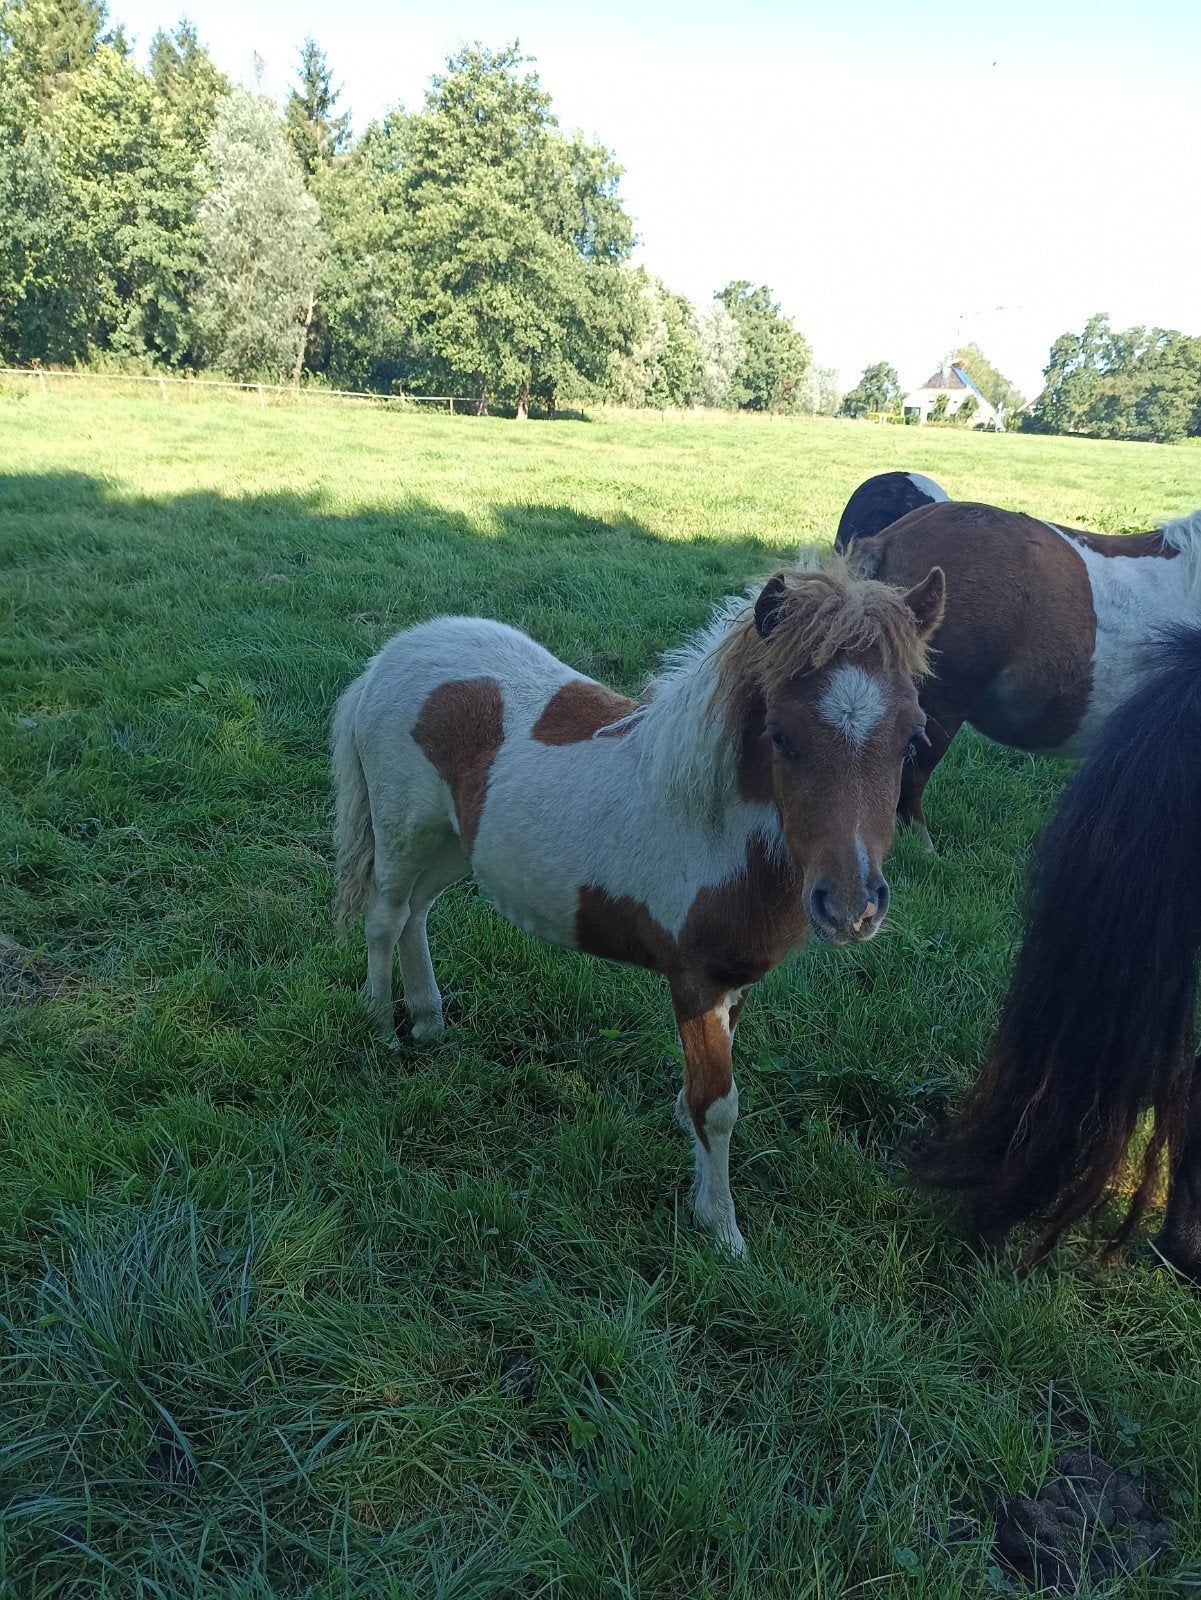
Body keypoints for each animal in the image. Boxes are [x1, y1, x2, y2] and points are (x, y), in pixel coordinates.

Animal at [332, 561, 946, 1255]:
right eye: (781, 736)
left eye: (913, 736)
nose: (850, 907)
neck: (717, 832)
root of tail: (388, 656)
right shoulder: (696, 982)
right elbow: (718, 1103)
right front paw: (723, 1232)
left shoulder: (738, 981)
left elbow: (701, 1095)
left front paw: (698, 1177)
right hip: (404, 830)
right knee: (386, 917)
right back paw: (382, 1027)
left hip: (452, 843)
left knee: (417, 914)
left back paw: (430, 1022)